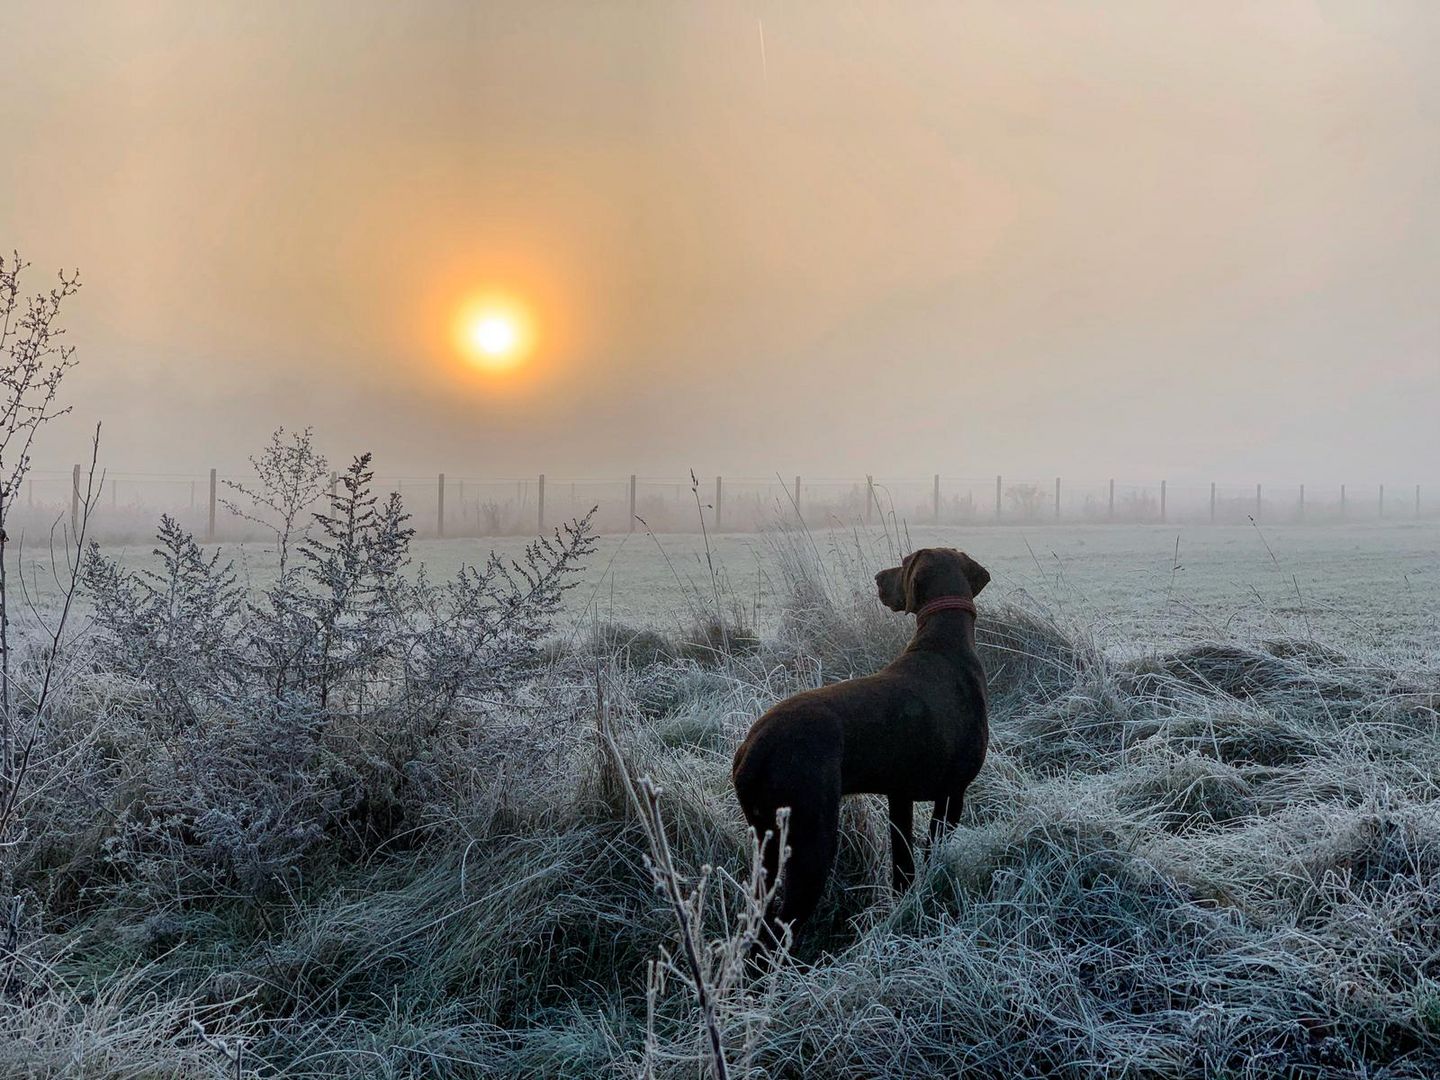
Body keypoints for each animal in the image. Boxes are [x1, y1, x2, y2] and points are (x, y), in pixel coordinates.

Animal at [731, 552, 990, 944]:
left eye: (903, 563)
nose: (879, 578)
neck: (944, 643)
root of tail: (753, 748)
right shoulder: (952, 793)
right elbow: (932, 855)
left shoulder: (900, 796)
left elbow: (903, 868)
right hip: (813, 841)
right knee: (778, 928)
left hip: (768, 843)